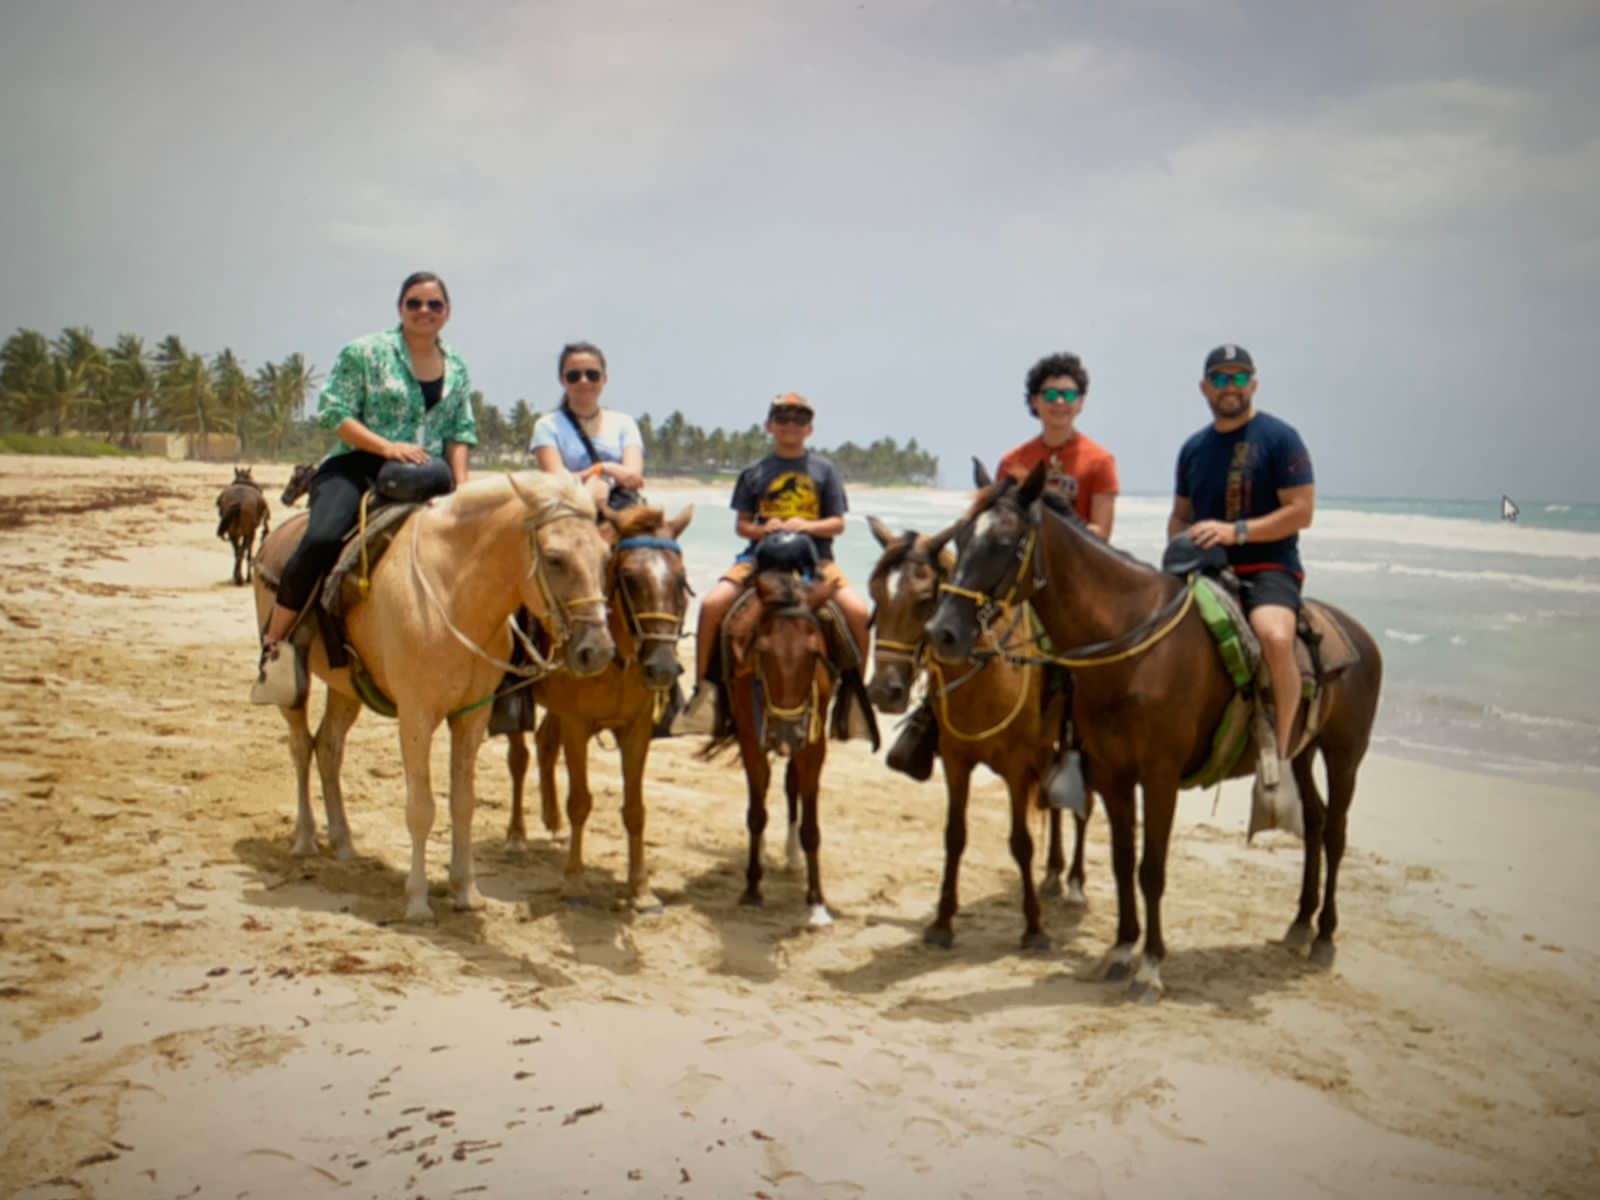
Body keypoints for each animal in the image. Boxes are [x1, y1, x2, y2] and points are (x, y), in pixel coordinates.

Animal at [251, 470, 615, 922]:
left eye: (606, 557)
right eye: (554, 558)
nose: (596, 651)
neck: (452, 594)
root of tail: (275, 537)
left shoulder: (471, 716)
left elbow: (463, 803)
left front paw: (466, 890)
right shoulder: (416, 716)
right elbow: (421, 808)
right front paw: (417, 900)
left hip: (344, 688)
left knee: (329, 747)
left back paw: (343, 841)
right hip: (293, 685)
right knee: (301, 745)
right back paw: (305, 838)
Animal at [503, 502, 695, 912]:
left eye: (681, 579)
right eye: (629, 577)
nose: (662, 667)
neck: (618, 659)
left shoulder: (637, 729)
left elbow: (635, 809)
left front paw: (640, 889)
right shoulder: (577, 724)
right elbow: (580, 801)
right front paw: (575, 881)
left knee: (544, 745)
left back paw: (553, 822)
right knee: (520, 758)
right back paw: (516, 836)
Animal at [709, 567, 839, 927]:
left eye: (814, 655)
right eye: (763, 653)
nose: (786, 733)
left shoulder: (812, 744)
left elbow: (811, 826)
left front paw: (817, 903)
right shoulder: (752, 740)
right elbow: (756, 814)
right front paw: (752, 889)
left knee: (790, 785)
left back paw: (792, 855)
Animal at [866, 516, 1090, 952]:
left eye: (924, 598)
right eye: (874, 594)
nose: (885, 691)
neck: (988, 674)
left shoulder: (1018, 768)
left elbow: (1021, 843)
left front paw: (1034, 928)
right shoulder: (956, 762)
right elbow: (955, 835)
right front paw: (942, 922)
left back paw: (1074, 882)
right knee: (1054, 801)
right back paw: (1054, 873)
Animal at [923, 462, 1383, 1000]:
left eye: (1003, 542)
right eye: (959, 537)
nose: (941, 632)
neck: (1132, 646)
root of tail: (1359, 635)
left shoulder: (1160, 777)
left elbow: (1152, 868)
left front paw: (1151, 965)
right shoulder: (1113, 774)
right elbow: (1124, 862)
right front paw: (1123, 950)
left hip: (1344, 753)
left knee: (1334, 832)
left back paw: (1325, 935)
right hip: (1301, 753)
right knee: (1313, 821)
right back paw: (1301, 922)